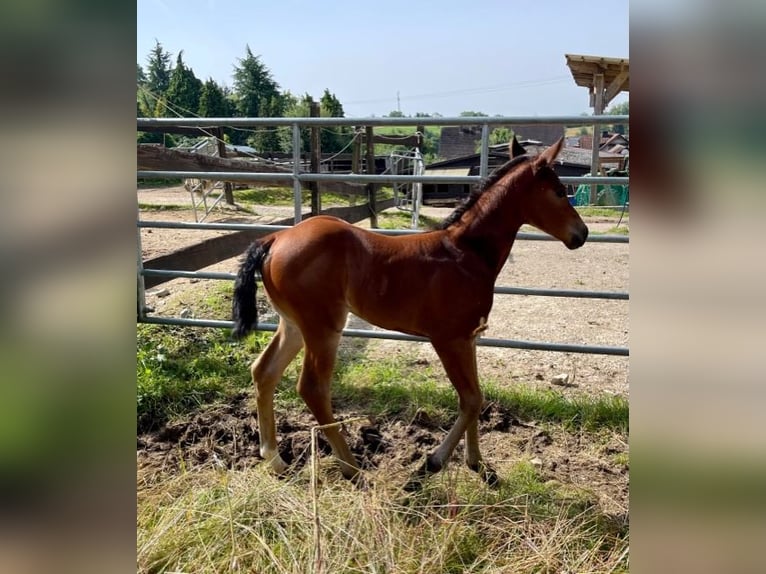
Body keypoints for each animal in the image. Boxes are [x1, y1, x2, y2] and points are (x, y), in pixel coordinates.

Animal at [232, 136, 588, 490]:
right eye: (559, 191)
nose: (581, 233)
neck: (466, 254)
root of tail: (275, 238)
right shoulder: (449, 339)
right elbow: (471, 399)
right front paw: (430, 465)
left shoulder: (470, 337)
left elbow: (477, 396)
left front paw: (479, 465)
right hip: (323, 327)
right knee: (312, 388)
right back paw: (353, 470)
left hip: (293, 324)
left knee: (264, 371)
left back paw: (275, 459)